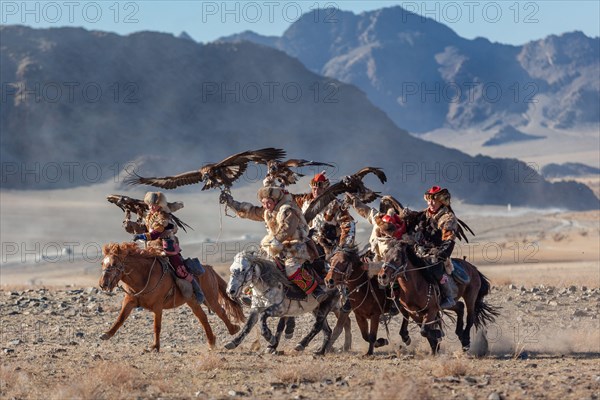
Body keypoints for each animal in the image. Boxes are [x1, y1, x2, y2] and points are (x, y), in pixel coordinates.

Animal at [99, 241, 245, 350]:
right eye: (102, 263)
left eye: (114, 264)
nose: (102, 284)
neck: (144, 276)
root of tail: (209, 269)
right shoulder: (129, 301)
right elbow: (120, 318)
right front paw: (106, 334)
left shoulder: (158, 306)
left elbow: (157, 326)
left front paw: (155, 347)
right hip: (193, 302)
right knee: (203, 317)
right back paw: (212, 342)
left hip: (210, 299)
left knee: (220, 311)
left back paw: (233, 330)